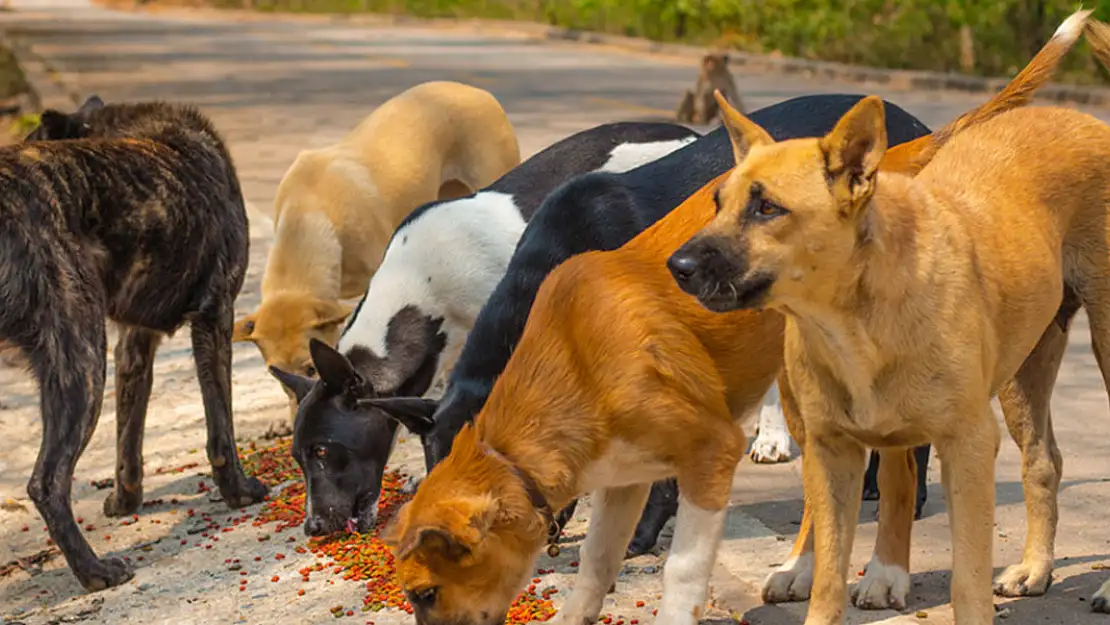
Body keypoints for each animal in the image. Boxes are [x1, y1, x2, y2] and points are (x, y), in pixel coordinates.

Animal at [7, 96, 268, 590]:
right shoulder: (216, 315)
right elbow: (221, 429)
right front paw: (240, 492)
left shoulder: (133, 342)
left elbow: (129, 434)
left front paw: (125, 501)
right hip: (83, 362)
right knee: (46, 482)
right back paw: (94, 572)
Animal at [666, 11, 1110, 625]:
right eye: (717, 202)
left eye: (768, 207)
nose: (676, 266)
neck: (855, 319)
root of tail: (1078, 119)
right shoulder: (833, 452)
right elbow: (829, 578)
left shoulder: (968, 447)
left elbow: (967, 582)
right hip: (1025, 370)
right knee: (1043, 460)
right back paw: (1034, 569)